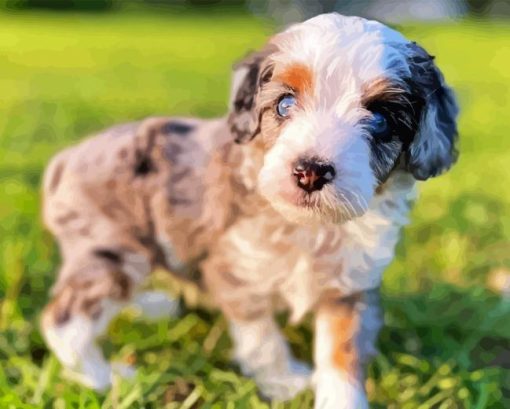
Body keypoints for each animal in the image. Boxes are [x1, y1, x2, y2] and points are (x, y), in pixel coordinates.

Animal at [40, 12, 458, 408]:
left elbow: (342, 353)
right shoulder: (238, 271)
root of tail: (65, 158)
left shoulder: (351, 285)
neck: (309, 228)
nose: (310, 171)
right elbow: (262, 337)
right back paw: (106, 377)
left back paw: (151, 306)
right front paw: (286, 382)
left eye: (381, 118)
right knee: (62, 321)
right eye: (285, 103)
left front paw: (340, 400)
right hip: (113, 252)